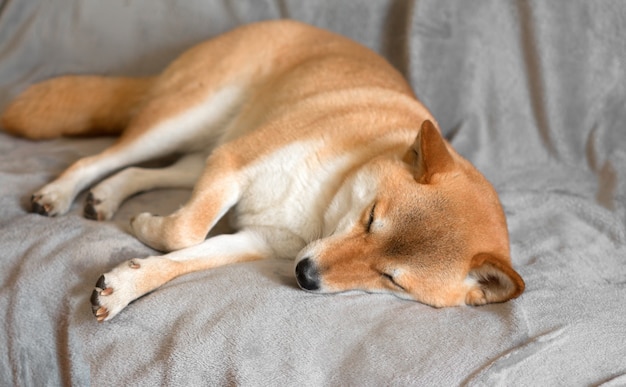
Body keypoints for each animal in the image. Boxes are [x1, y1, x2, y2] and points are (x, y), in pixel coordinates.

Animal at [0, 19, 520, 322]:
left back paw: (107, 195)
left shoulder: (256, 236)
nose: (306, 276)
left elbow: (185, 256)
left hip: (205, 147)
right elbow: (186, 231)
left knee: (149, 171)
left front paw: (129, 281)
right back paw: (61, 192)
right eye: (371, 218)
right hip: (185, 120)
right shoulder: (233, 164)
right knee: (99, 158)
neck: (325, 205)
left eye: (393, 280)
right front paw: (149, 228)